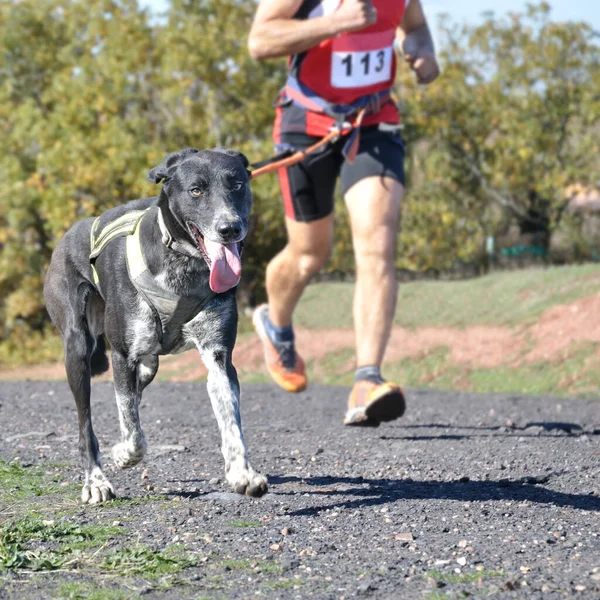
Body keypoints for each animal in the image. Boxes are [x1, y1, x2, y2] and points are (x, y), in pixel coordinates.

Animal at [43, 148, 266, 504]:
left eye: (237, 185)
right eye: (196, 190)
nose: (230, 228)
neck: (183, 266)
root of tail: (69, 233)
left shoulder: (218, 356)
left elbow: (230, 420)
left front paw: (242, 473)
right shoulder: (122, 356)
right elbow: (134, 433)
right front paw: (122, 454)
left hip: (149, 365)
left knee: (136, 391)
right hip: (76, 347)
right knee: (86, 424)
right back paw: (95, 480)